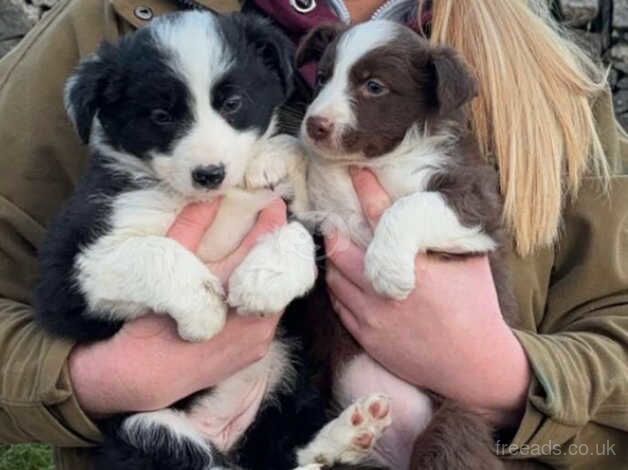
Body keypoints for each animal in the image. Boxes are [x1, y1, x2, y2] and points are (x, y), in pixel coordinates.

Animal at [34, 10, 390, 470]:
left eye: (233, 103)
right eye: (161, 115)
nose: (209, 174)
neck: (213, 199)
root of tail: (228, 436)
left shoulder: (306, 215)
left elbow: (294, 225)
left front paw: (264, 279)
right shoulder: (65, 276)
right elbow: (149, 250)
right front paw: (204, 307)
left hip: (291, 373)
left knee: (291, 448)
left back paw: (353, 430)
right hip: (149, 431)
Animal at [292, 20, 516, 468]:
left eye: (374, 86)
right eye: (322, 77)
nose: (315, 125)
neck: (375, 162)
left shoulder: (475, 207)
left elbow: (412, 204)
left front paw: (387, 268)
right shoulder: (323, 210)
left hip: (453, 422)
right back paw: (347, 433)